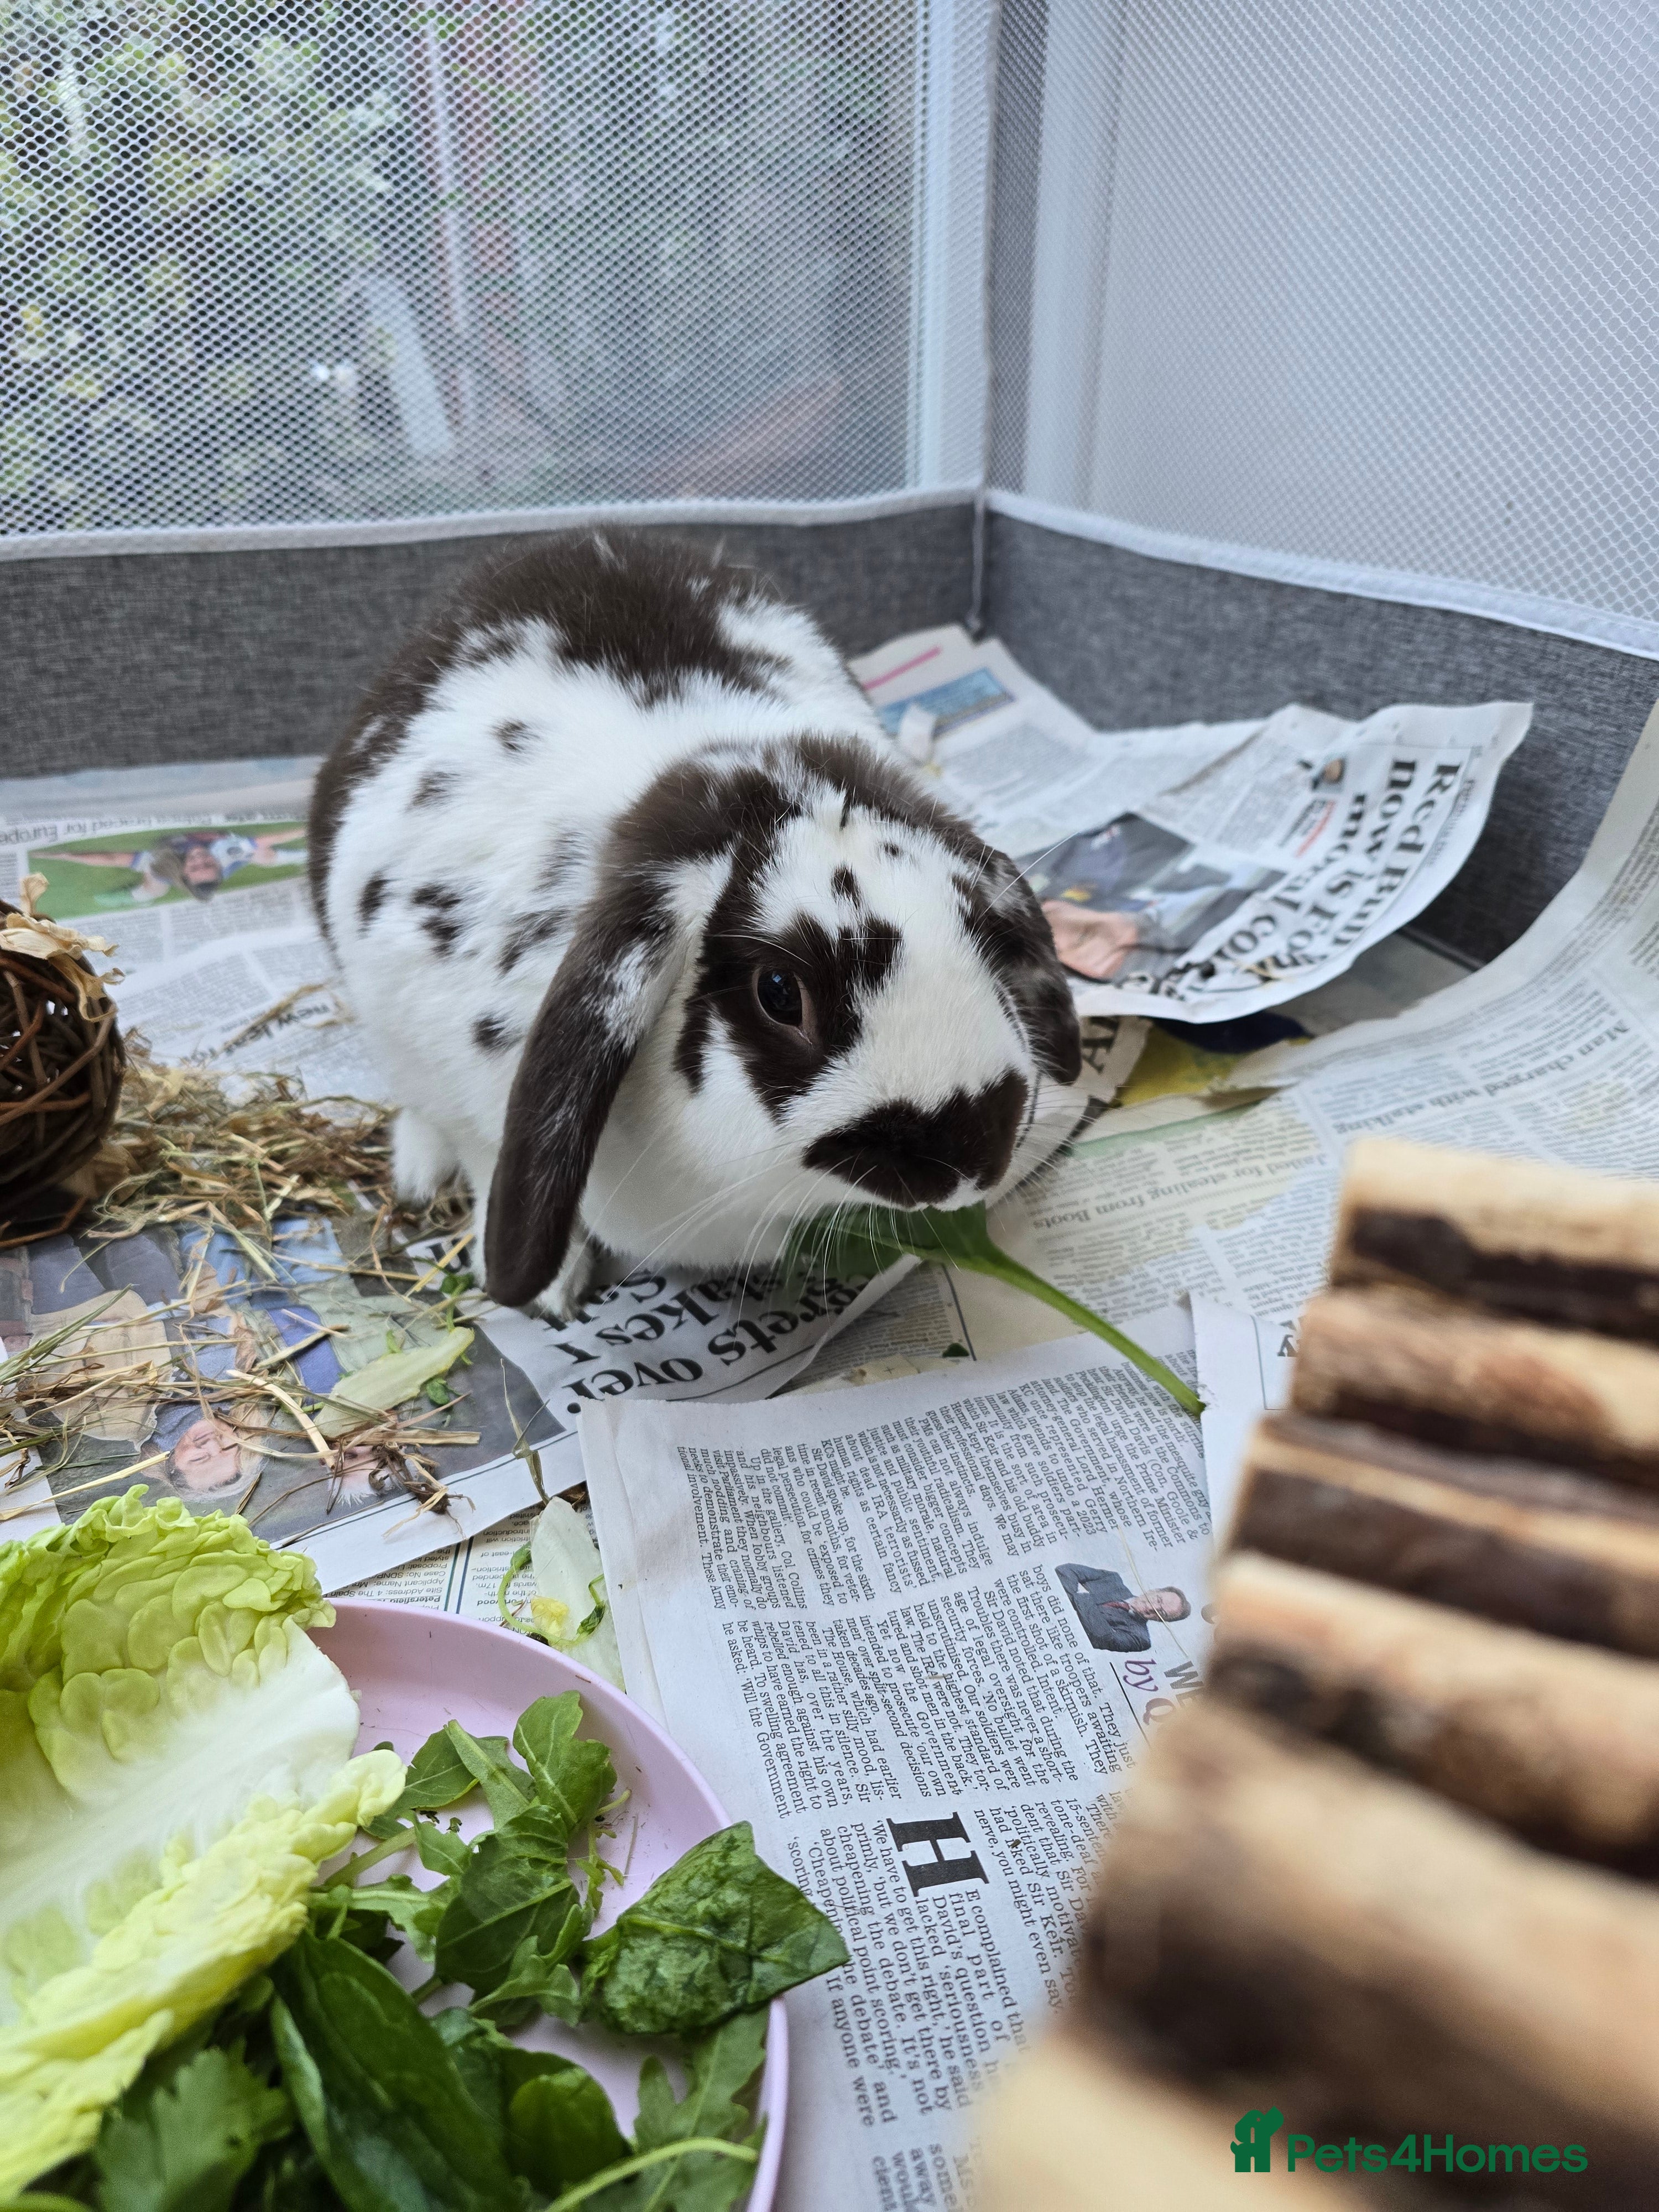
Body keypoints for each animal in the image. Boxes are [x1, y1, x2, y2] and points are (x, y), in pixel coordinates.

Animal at [309, 529, 1085, 1318]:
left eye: (978, 936)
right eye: (780, 993)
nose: (969, 1158)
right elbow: (482, 1149)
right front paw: (549, 1291)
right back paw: (418, 1170)